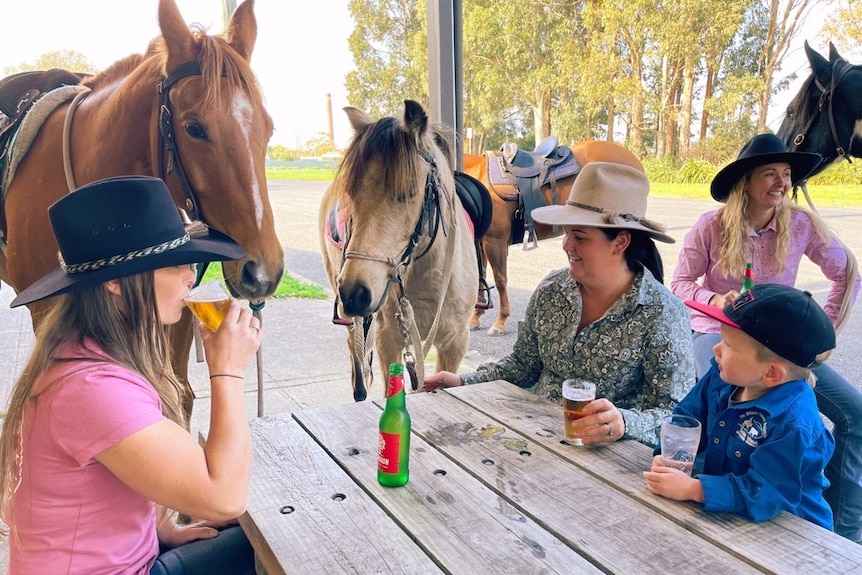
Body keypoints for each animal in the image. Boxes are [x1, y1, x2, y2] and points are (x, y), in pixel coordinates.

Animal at [0, 0, 286, 424]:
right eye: (194, 128)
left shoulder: (178, 307)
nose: (264, 271)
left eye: (268, 129)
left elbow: (178, 395)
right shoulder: (44, 310)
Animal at [320, 101, 480, 402]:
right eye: (350, 194)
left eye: (408, 193)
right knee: (354, 341)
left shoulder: (455, 343)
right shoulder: (389, 340)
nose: (355, 293)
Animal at [466, 141, 640, 336]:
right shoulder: (481, 242)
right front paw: (475, 317)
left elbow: (500, 279)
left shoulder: (495, 240)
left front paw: (500, 322)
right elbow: (480, 276)